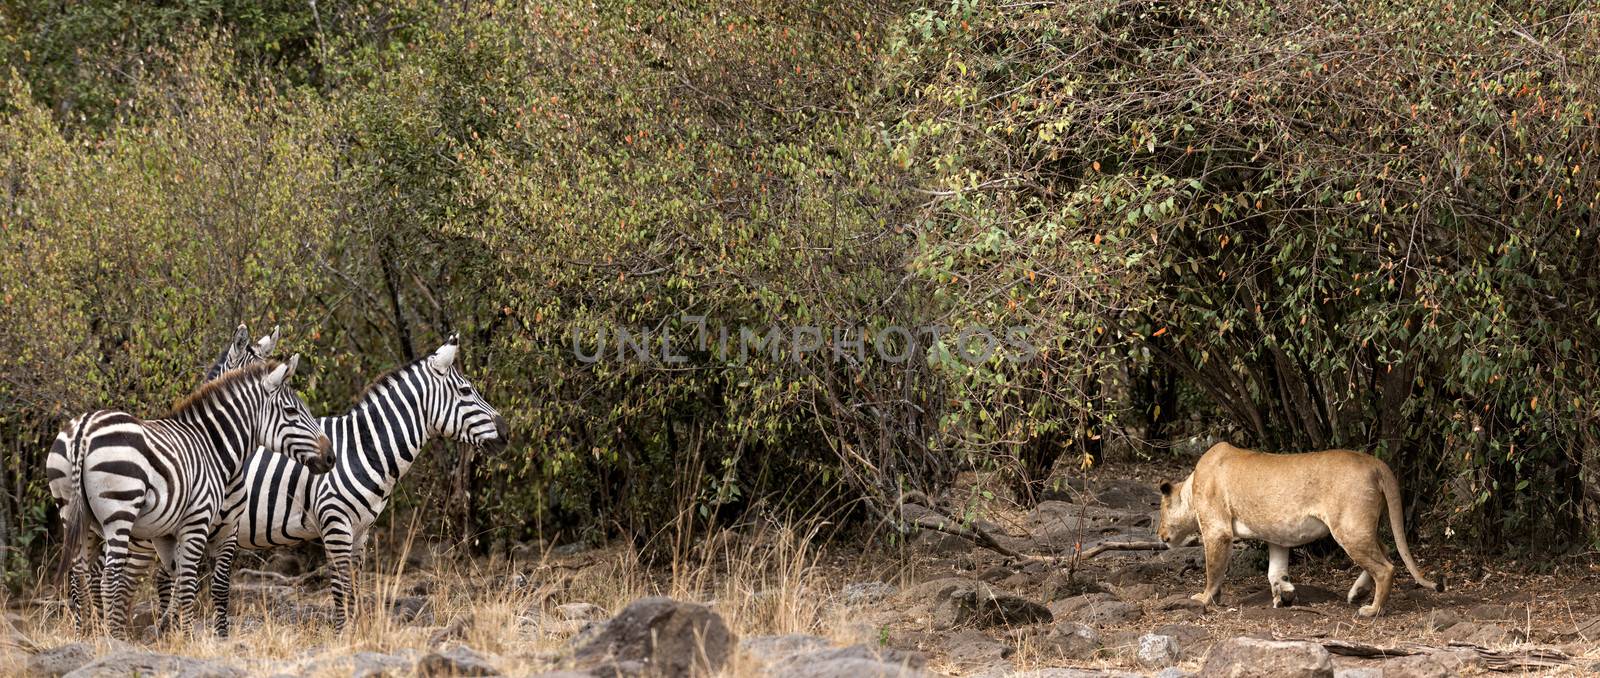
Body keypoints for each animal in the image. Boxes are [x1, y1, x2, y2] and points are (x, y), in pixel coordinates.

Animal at [60, 358, 337, 639]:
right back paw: (114, 638)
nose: (330, 457)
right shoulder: (199, 523)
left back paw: (86, 634)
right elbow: (193, 583)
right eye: (291, 412)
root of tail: (84, 430)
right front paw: (192, 636)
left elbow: (179, 579)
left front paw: (175, 632)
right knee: (109, 579)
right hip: (120, 515)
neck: (211, 449)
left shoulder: (171, 532)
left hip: (74, 515)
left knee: (79, 575)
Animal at [146, 335, 505, 633]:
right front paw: (342, 634)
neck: (362, 449)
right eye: (466, 391)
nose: (506, 432)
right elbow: (340, 585)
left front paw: (357, 632)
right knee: (164, 577)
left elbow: (354, 585)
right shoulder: (335, 523)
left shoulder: (361, 530)